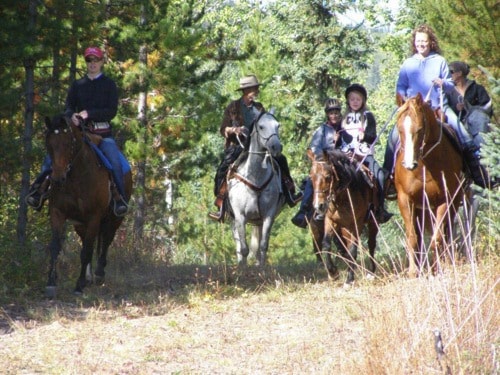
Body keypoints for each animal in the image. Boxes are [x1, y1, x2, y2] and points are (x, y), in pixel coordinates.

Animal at [44, 114, 133, 296]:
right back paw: (89, 277)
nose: (57, 179)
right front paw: (51, 283)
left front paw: (79, 285)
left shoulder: (94, 217)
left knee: (106, 240)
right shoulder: (57, 212)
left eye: (67, 143)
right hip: (80, 224)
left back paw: (98, 275)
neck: (75, 178)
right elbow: (56, 246)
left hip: (114, 219)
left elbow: (87, 251)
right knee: (89, 241)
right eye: (49, 144)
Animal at [228, 111, 286, 268]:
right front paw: (243, 268)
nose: (276, 147)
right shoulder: (240, 216)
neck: (255, 178)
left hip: (258, 221)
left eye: (278, 125)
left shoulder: (268, 216)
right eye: (261, 126)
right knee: (237, 242)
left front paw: (261, 267)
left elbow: (263, 245)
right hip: (233, 219)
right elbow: (244, 248)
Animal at [308, 150, 378, 284]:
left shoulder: (357, 223)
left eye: (328, 176)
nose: (318, 206)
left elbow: (353, 250)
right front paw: (333, 272)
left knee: (371, 245)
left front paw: (349, 279)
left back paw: (371, 272)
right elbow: (326, 244)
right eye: (311, 177)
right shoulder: (330, 221)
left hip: (372, 223)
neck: (343, 197)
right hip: (345, 230)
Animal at [394, 93, 468, 278]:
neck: (425, 165)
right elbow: (412, 238)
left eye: (420, 129)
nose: (409, 164)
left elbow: (437, 239)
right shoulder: (405, 200)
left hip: (453, 202)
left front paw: (437, 269)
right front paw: (413, 272)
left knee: (447, 233)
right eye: (399, 129)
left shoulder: (444, 200)